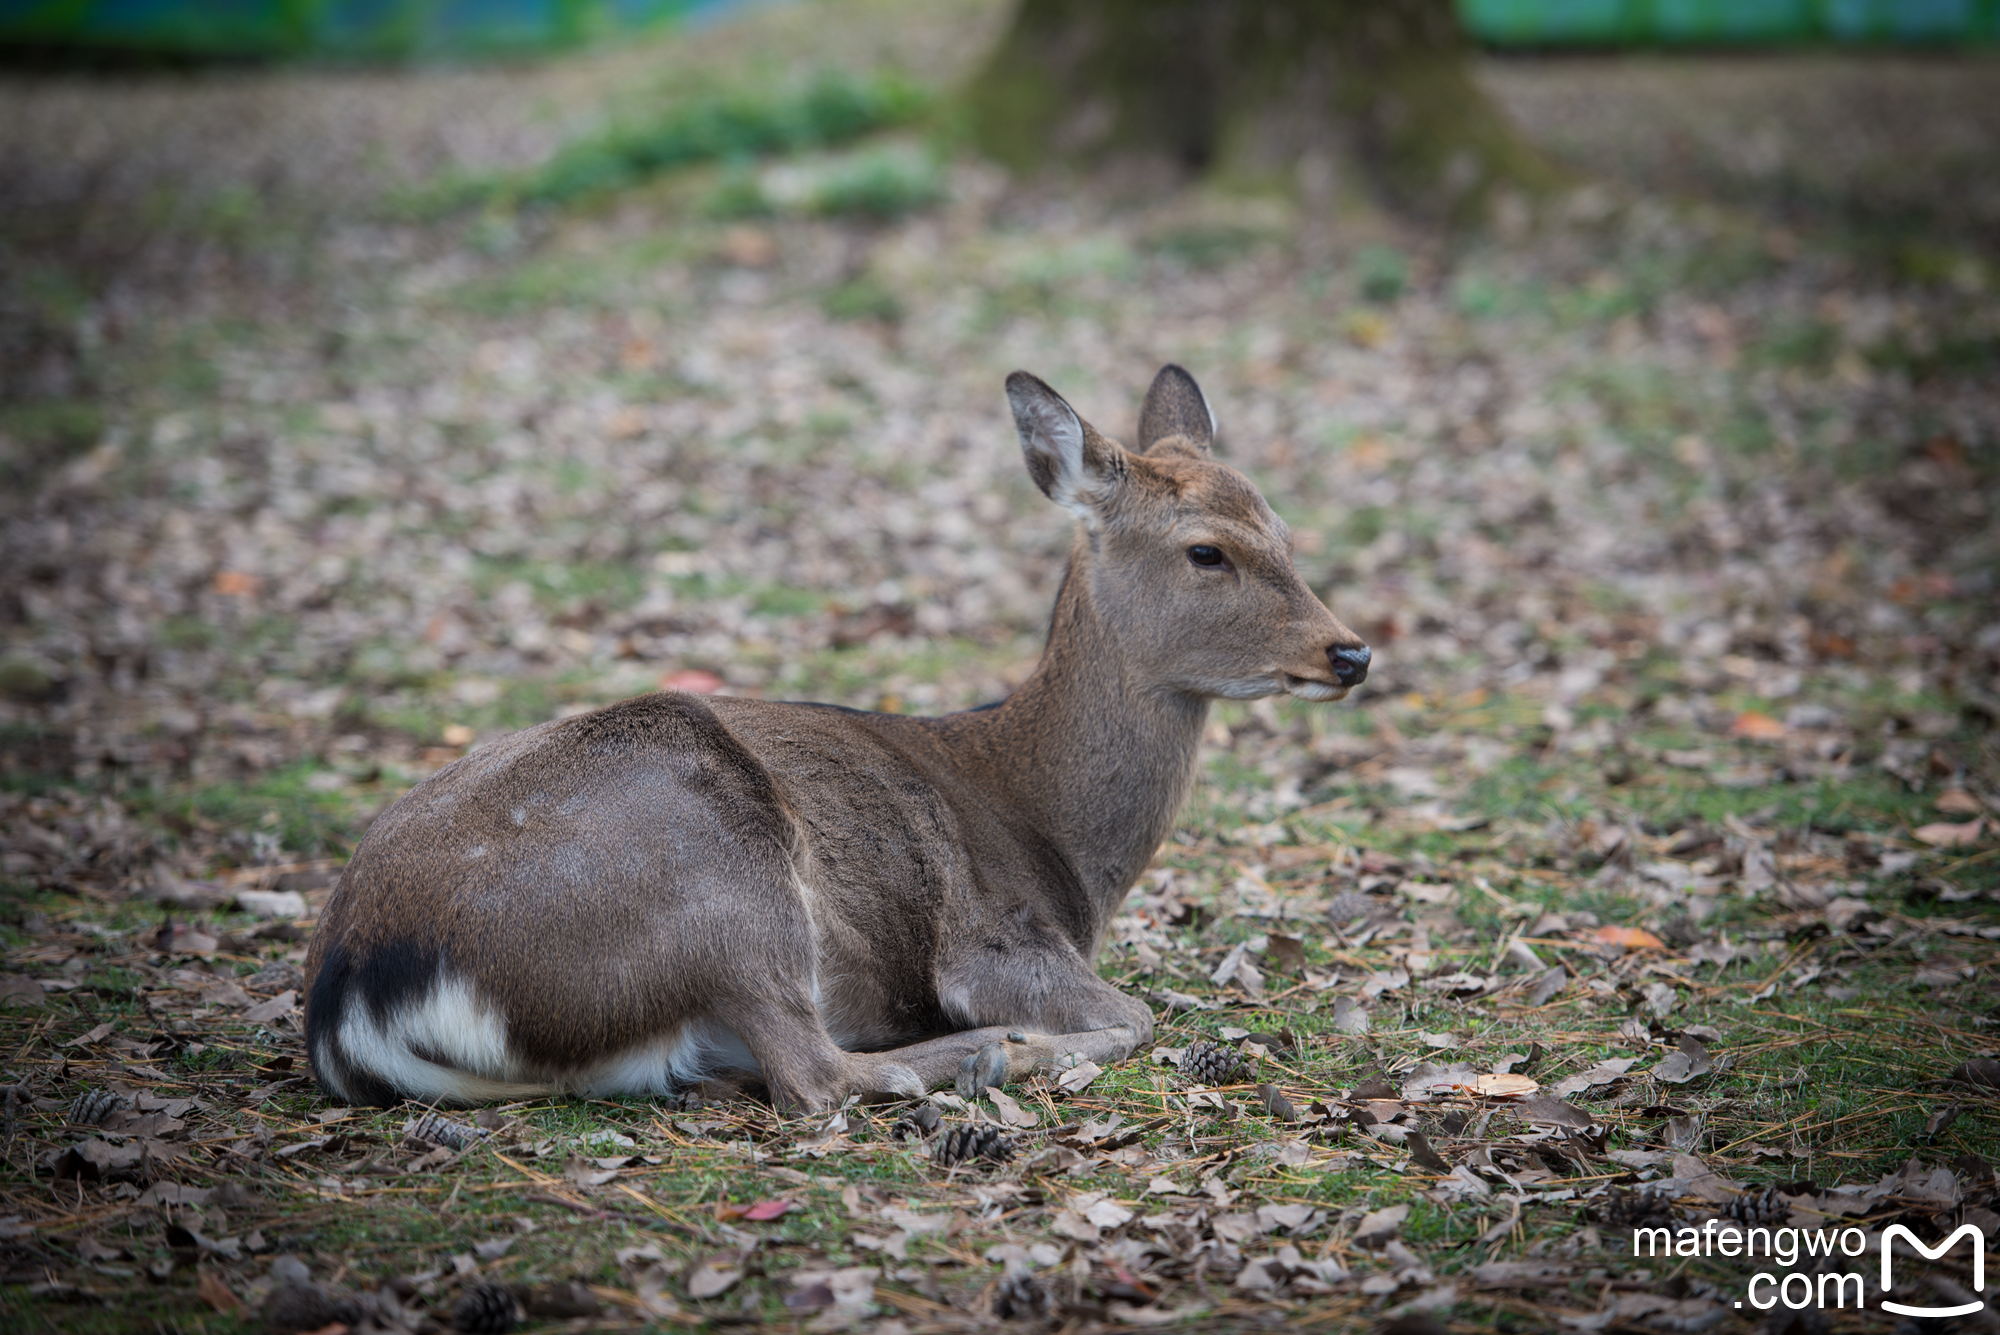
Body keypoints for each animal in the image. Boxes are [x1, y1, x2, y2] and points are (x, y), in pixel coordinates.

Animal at [304, 359, 1376, 1111]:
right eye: (1207, 550)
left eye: (1283, 529)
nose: (1351, 651)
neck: (1062, 845)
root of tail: (355, 992)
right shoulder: (994, 939)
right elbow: (1135, 1012)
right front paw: (1028, 1041)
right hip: (717, 870)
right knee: (815, 1075)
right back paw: (991, 1054)